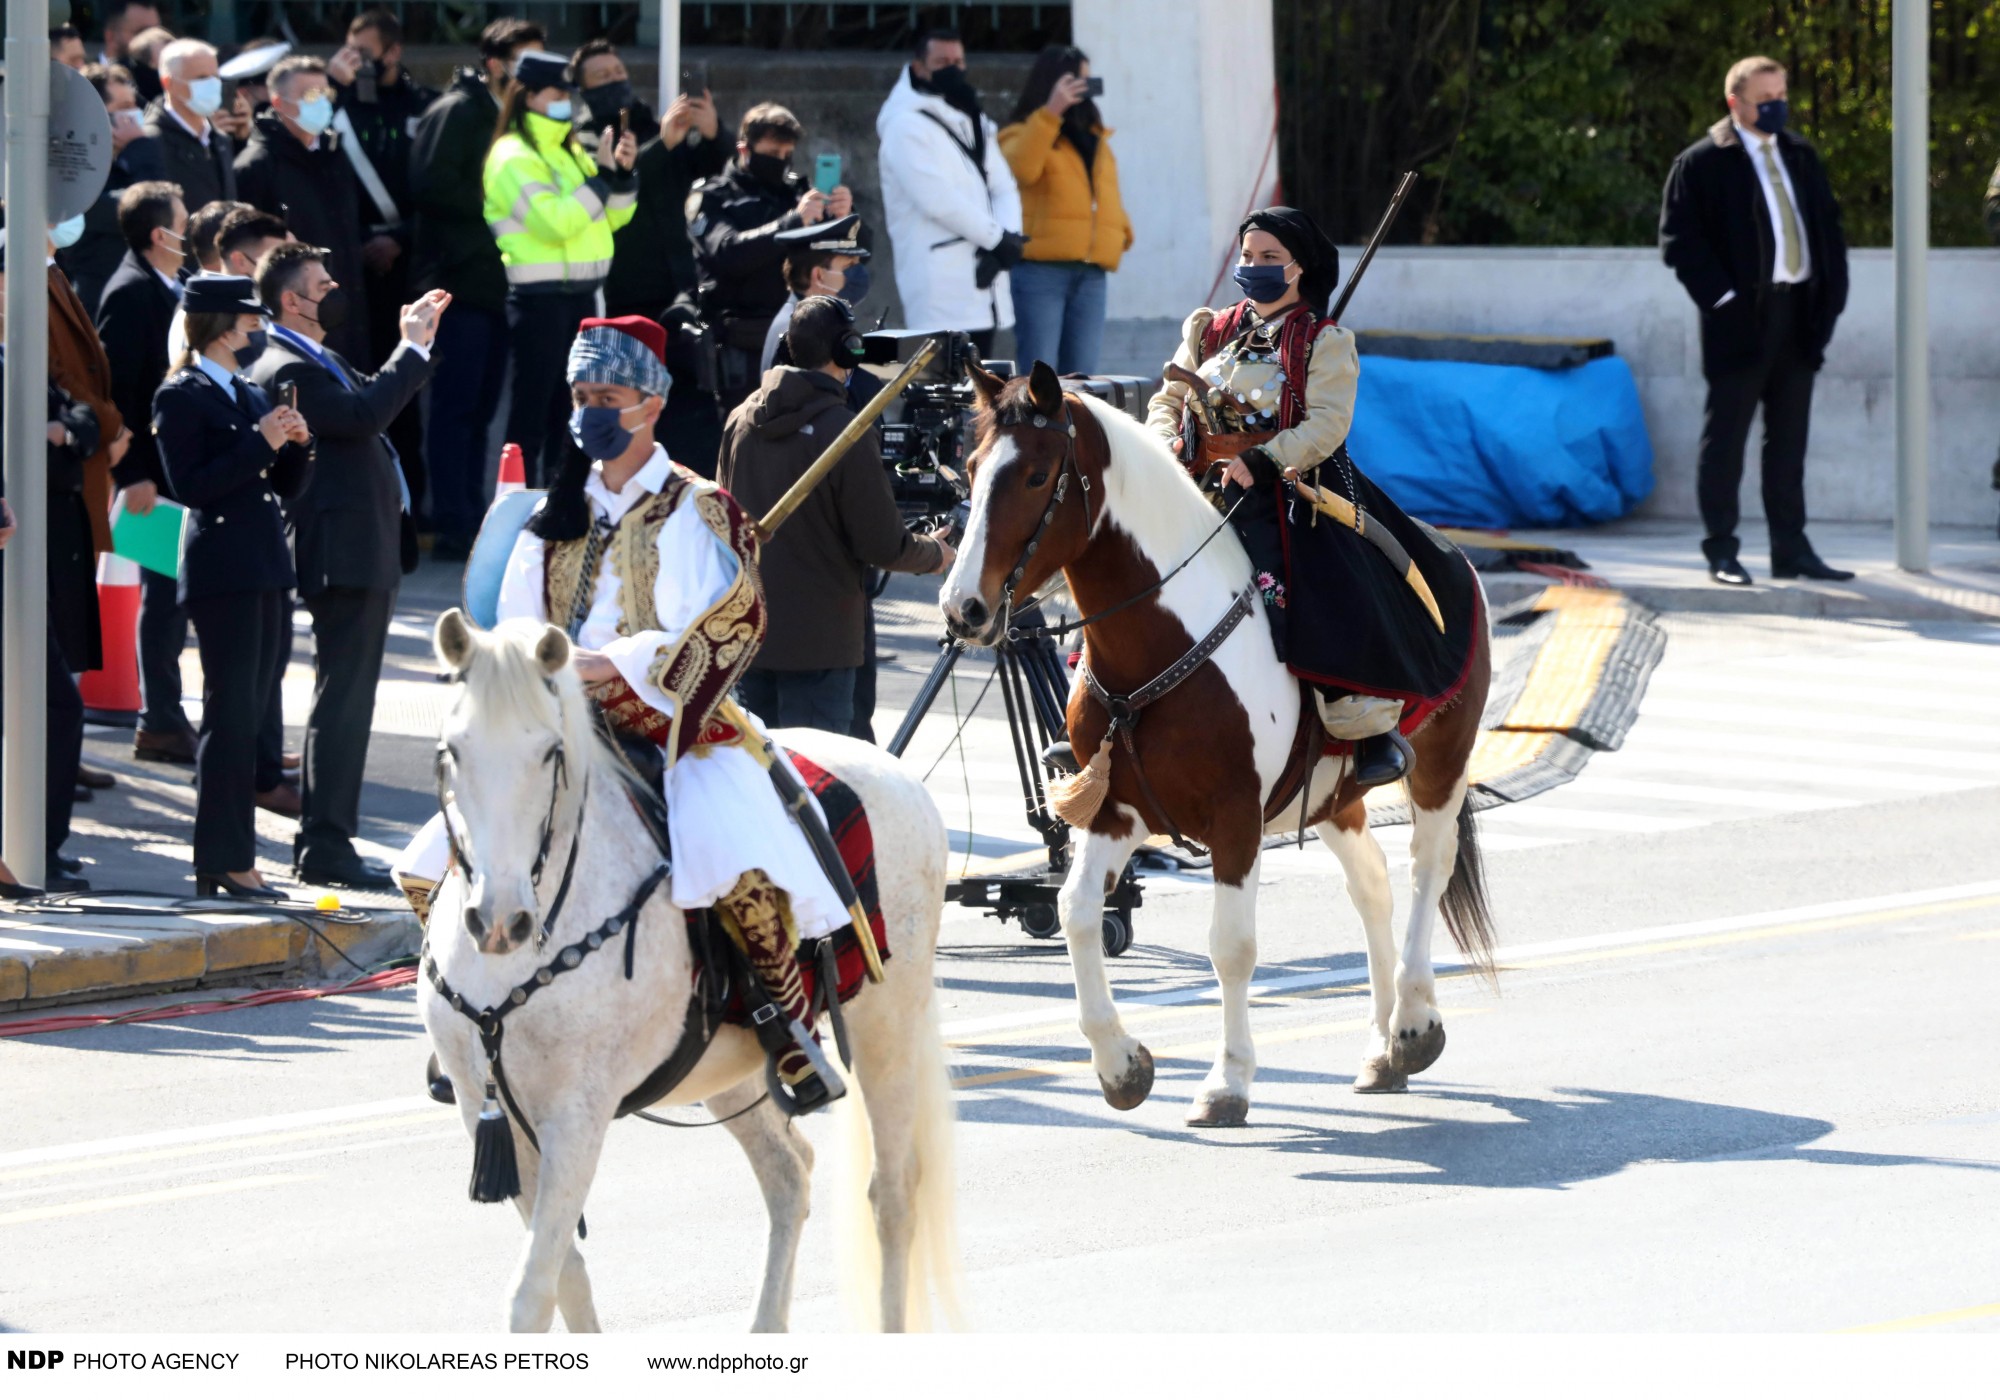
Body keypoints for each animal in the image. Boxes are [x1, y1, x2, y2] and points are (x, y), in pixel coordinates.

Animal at [420, 612, 952, 1336]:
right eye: (452, 750)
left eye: (551, 752)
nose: (500, 921)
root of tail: (899, 774)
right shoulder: (486, 1109)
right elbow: (567, 1279)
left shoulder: (577, 1116)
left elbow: (533, 1292)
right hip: (731, 1069)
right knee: (789, 1173)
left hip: (887, 1026)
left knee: (893, 1193)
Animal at [944, 364, 1496, 1128]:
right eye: (970, 468)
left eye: (1033, 476)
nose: (962, 608)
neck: (1158, 640)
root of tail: (1455, 556)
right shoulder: (1114, 810)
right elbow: (1077, 912)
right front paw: (1119, 1064)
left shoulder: (1236, 821)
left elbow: (1230, 948)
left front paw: (1227, 1081)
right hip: (1333, 796)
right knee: (1373, 885)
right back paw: (1381, 1048)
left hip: (1442, 762)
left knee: (1426, 868)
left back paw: (1413, 1022)